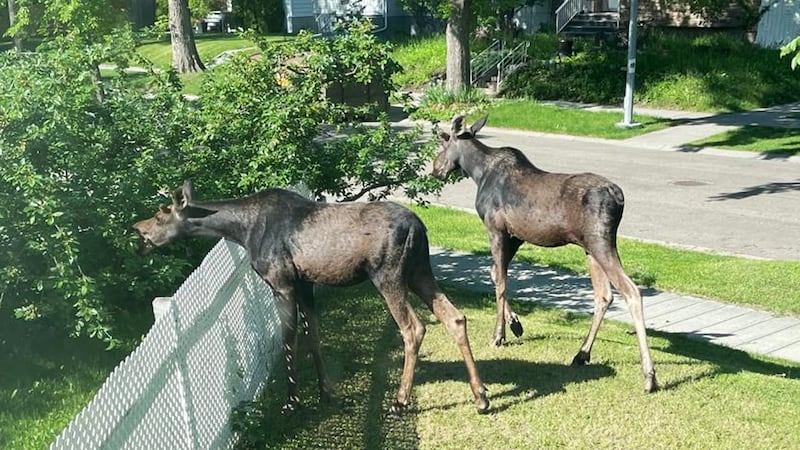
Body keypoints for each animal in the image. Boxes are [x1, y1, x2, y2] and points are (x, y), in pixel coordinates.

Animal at [132, 181, 490, 414]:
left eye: (162, 214)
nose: (137, 228)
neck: (241, 231)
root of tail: (420, 228)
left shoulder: (281, 282)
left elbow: (288, 340)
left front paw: (292, 402)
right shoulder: (305, 284)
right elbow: (313, 335)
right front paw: (325, 392)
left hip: (388, 275)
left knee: (413, 328)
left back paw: (400, 400)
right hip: (419, 271)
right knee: (455, 316)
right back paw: (481, 396)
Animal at [431, 116, 657, 393]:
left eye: (444, 140)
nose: (435, 169)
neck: (477, 172)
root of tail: (619, 198)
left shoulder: (496, 229)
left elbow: (501, 282)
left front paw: (499, 335)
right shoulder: (516, 236)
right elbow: (495, 273)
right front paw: (515, 324)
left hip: (600, 243)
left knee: (631, 291)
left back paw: (649, 376)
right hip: (591, 247)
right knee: (604, 296)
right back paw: (581, 354)